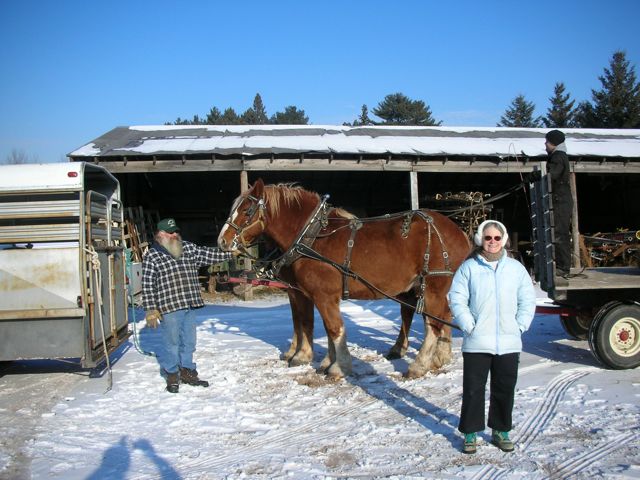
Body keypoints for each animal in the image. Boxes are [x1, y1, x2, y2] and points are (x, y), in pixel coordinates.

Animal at [220, 179, 470, 378]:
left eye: (247, 210)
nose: (222, 241)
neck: (311, 238)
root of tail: (458, 231)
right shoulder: (312, 294)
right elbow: (317, 324)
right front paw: (322, 361)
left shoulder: (319, 294)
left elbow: (331, 328)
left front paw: (337, 367)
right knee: (442, 315)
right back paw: (440, 356)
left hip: (433, 286)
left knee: (433, 323)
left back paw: (419, 365)